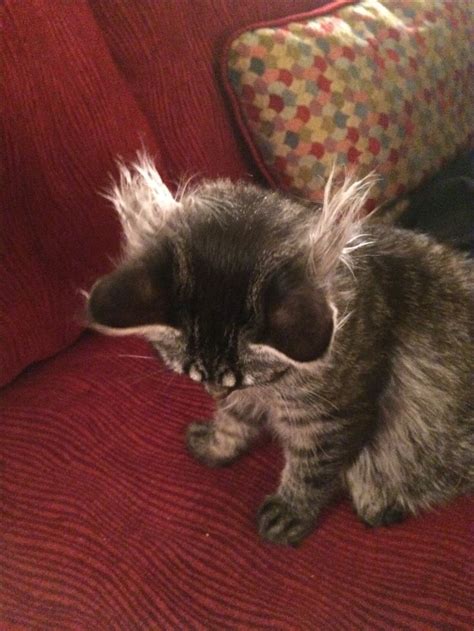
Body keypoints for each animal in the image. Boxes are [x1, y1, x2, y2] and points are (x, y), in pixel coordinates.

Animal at [87, 156, 472, 544]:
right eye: (193, 376)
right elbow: (231, 424)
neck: (272, 390)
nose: (214, 391)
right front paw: (215, 446)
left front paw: (289, 513)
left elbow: (310, 471)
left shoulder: (331, 419)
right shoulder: (245, 398)